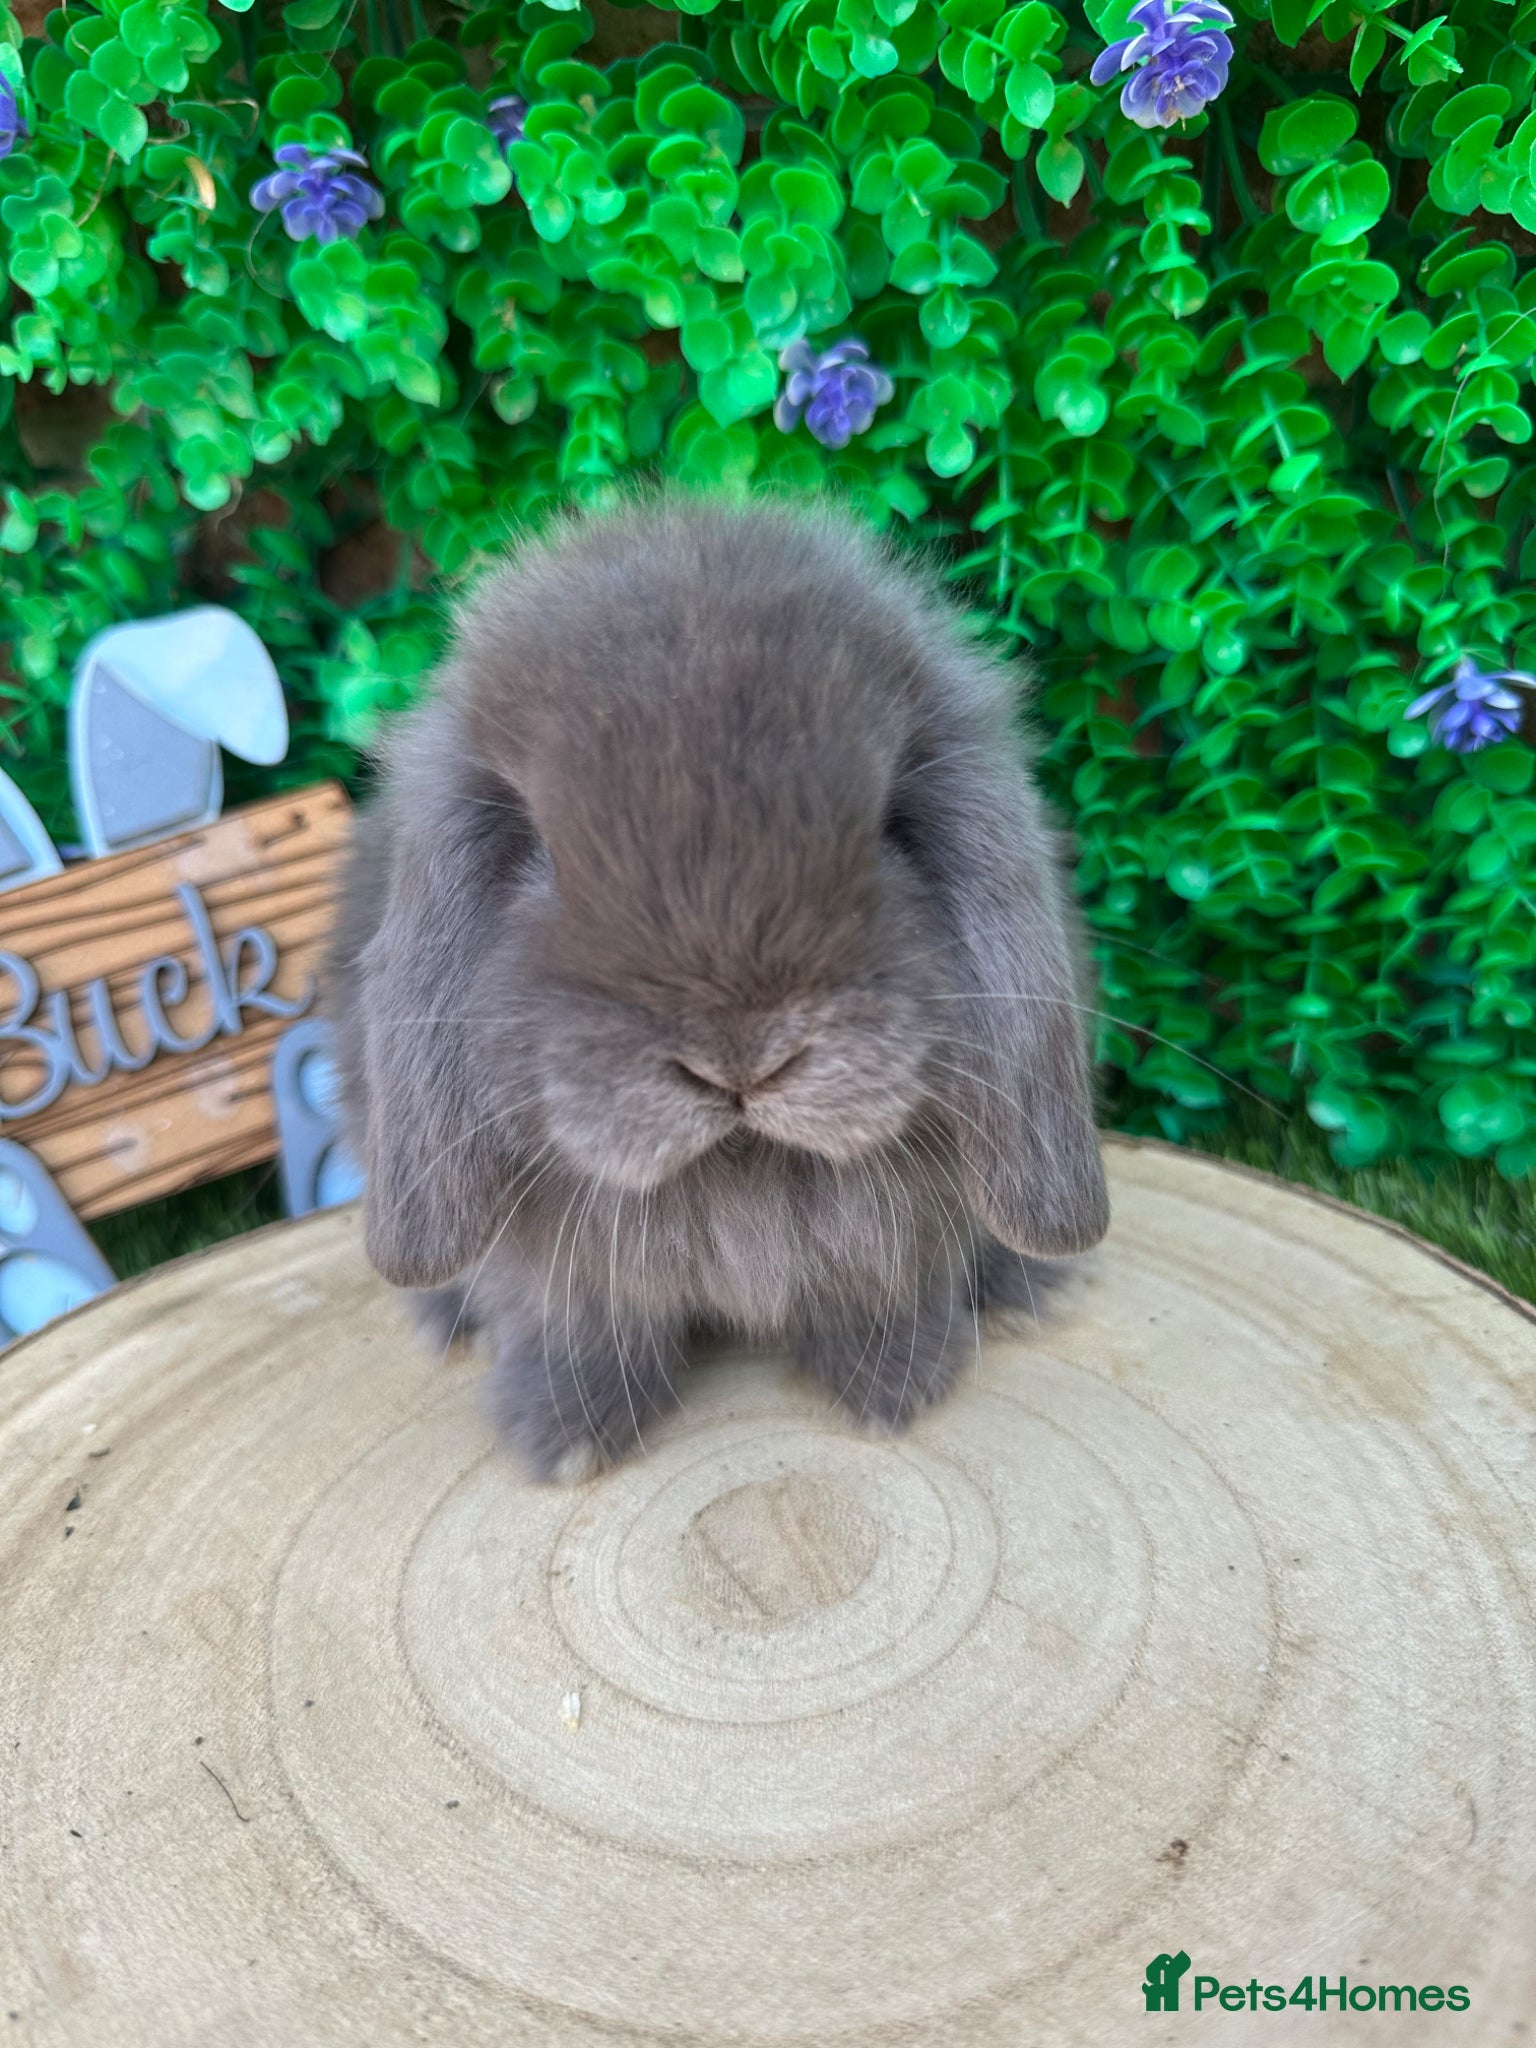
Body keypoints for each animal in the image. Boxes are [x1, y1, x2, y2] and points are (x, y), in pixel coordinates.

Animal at [325, 489, 1108, 1483]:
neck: (740, 1171)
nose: (741, 1057)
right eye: (543, 852)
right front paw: (565, 1437)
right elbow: (578, 1329)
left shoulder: (903, 1237)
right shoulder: (549, 1272)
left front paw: (892, 1386)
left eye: (892, 825)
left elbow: (882, 1290)